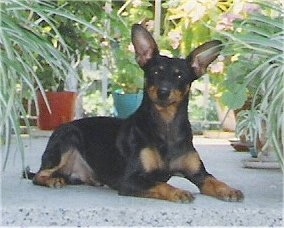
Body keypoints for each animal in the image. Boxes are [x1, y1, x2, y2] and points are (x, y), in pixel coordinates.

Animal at [25, 24, 244, 203]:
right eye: (155, 72)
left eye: (180, 76)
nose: (163, 92)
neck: (166, 125)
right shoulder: (131, 180)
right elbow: (161, 183)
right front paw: (178, 191)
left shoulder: (200, 174)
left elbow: (214, 182)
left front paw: (229, 190)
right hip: (67, 139)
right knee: (38, 175)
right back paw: (53, 180)